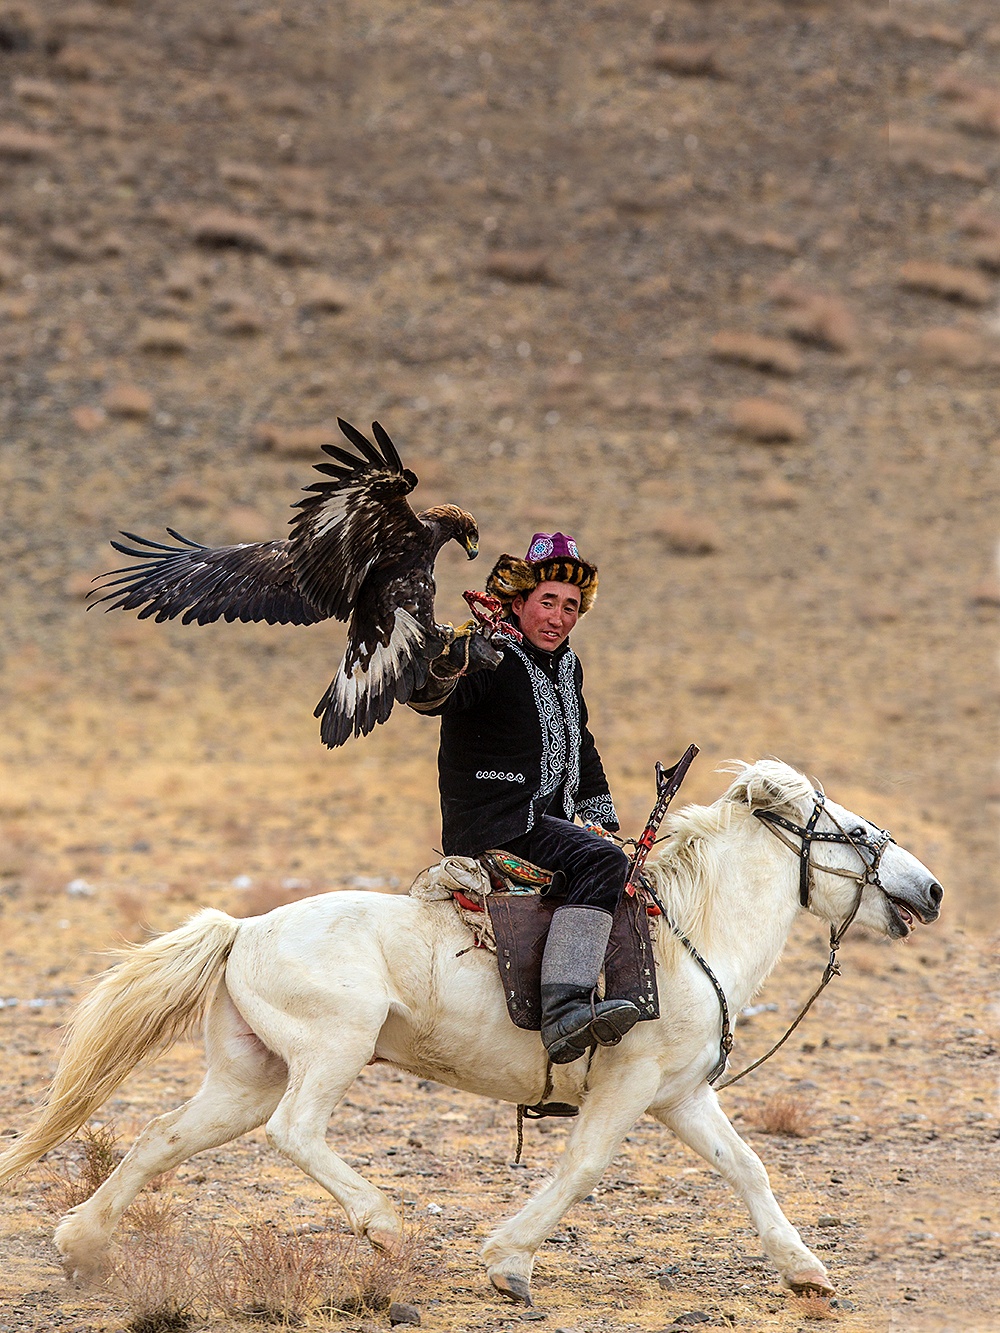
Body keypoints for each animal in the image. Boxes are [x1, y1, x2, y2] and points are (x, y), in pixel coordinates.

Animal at [0, 762, 944, 1301]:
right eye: (855, 832)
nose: (930, 890)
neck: (688, 935)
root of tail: (244, 926)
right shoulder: (630, 1087)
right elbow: (584, 1166)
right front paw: (507, 1261)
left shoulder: (680, 1095)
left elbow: (747, 1167)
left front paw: (805, 1270)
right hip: (331, 1052)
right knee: (294, 1132)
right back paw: (382, 1224)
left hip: (246, 1074)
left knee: (164, 1136)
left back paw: (81, 1245)